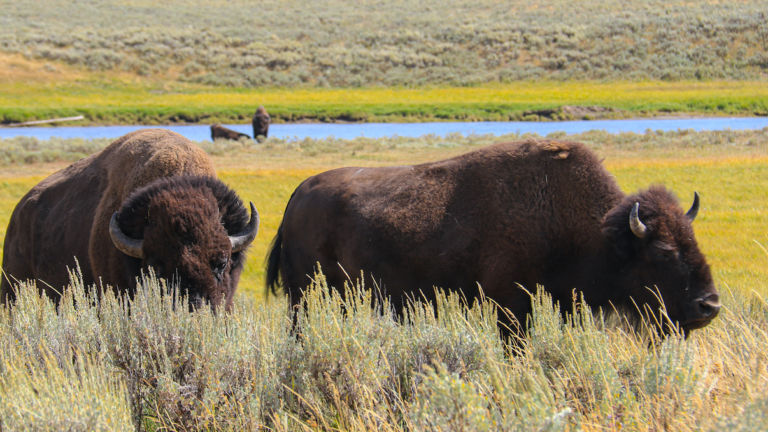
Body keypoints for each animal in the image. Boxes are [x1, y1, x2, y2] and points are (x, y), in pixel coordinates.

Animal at [268, 138, 720, 334]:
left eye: (694, 242)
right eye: (663, 252)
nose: (709, 305)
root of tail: (297, 196)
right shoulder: (510, 301)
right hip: (304, 294)